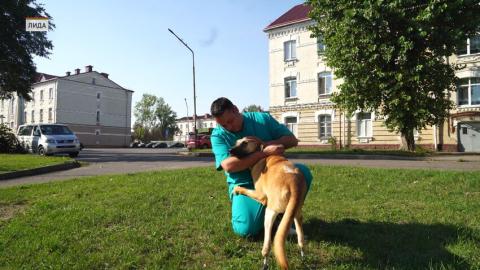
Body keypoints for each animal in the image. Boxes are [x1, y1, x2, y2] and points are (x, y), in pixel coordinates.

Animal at [230, 138, 308, 268]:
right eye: (236, 142)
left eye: (245, 143)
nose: (230, 150)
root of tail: (293, 182)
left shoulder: (260, 195)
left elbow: (244, 189)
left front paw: (237, 189)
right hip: (297, 212)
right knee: (300, 239)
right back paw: (302, 255)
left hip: (269, 213)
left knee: (267, 245)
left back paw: (265, 262)